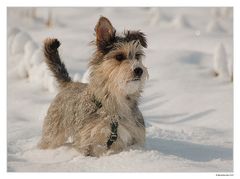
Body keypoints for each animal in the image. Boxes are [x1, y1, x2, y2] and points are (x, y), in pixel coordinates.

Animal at [37, 16, 148, 157]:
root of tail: (70, 83)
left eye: (137, 56)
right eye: (119, 56)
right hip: (52, 134)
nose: (139, 70)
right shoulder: (87, 141)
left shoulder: (136, 136)